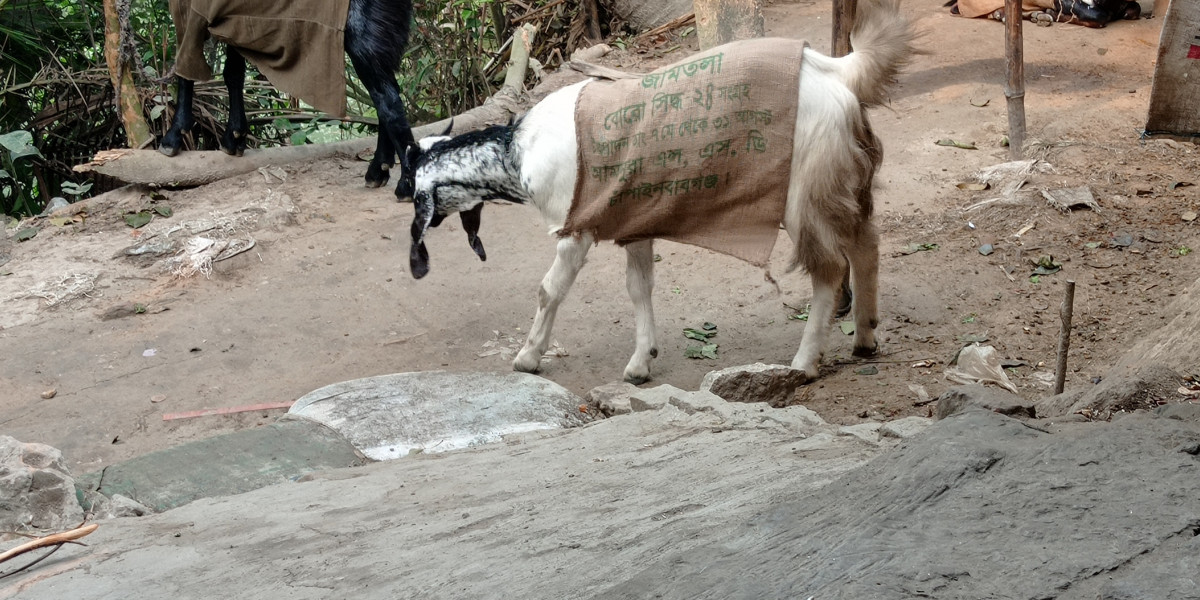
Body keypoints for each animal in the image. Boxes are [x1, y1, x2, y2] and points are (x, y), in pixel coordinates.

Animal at [160, 0, 417, 194]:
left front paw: (173, 137)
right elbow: (233, 72)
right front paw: (235, 136)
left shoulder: (193, 11)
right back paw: (378, 171)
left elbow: (184, 69)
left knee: (387, 99)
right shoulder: (234, 16)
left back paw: (405, 185)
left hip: (362, 31)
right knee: (388, 91)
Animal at [408, 0, 912, 384]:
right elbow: (639, 288)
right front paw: (641, 361)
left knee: (829, 268)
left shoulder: (577, 225)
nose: (414, 251)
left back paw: (805, 362)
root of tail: (836, 74)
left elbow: (549, 289)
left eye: (415, 193)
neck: (517, 150)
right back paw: (866, 337)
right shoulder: (634, 218)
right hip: (843, 180)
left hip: (804, 188)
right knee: (866, 241)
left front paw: (528, 358)